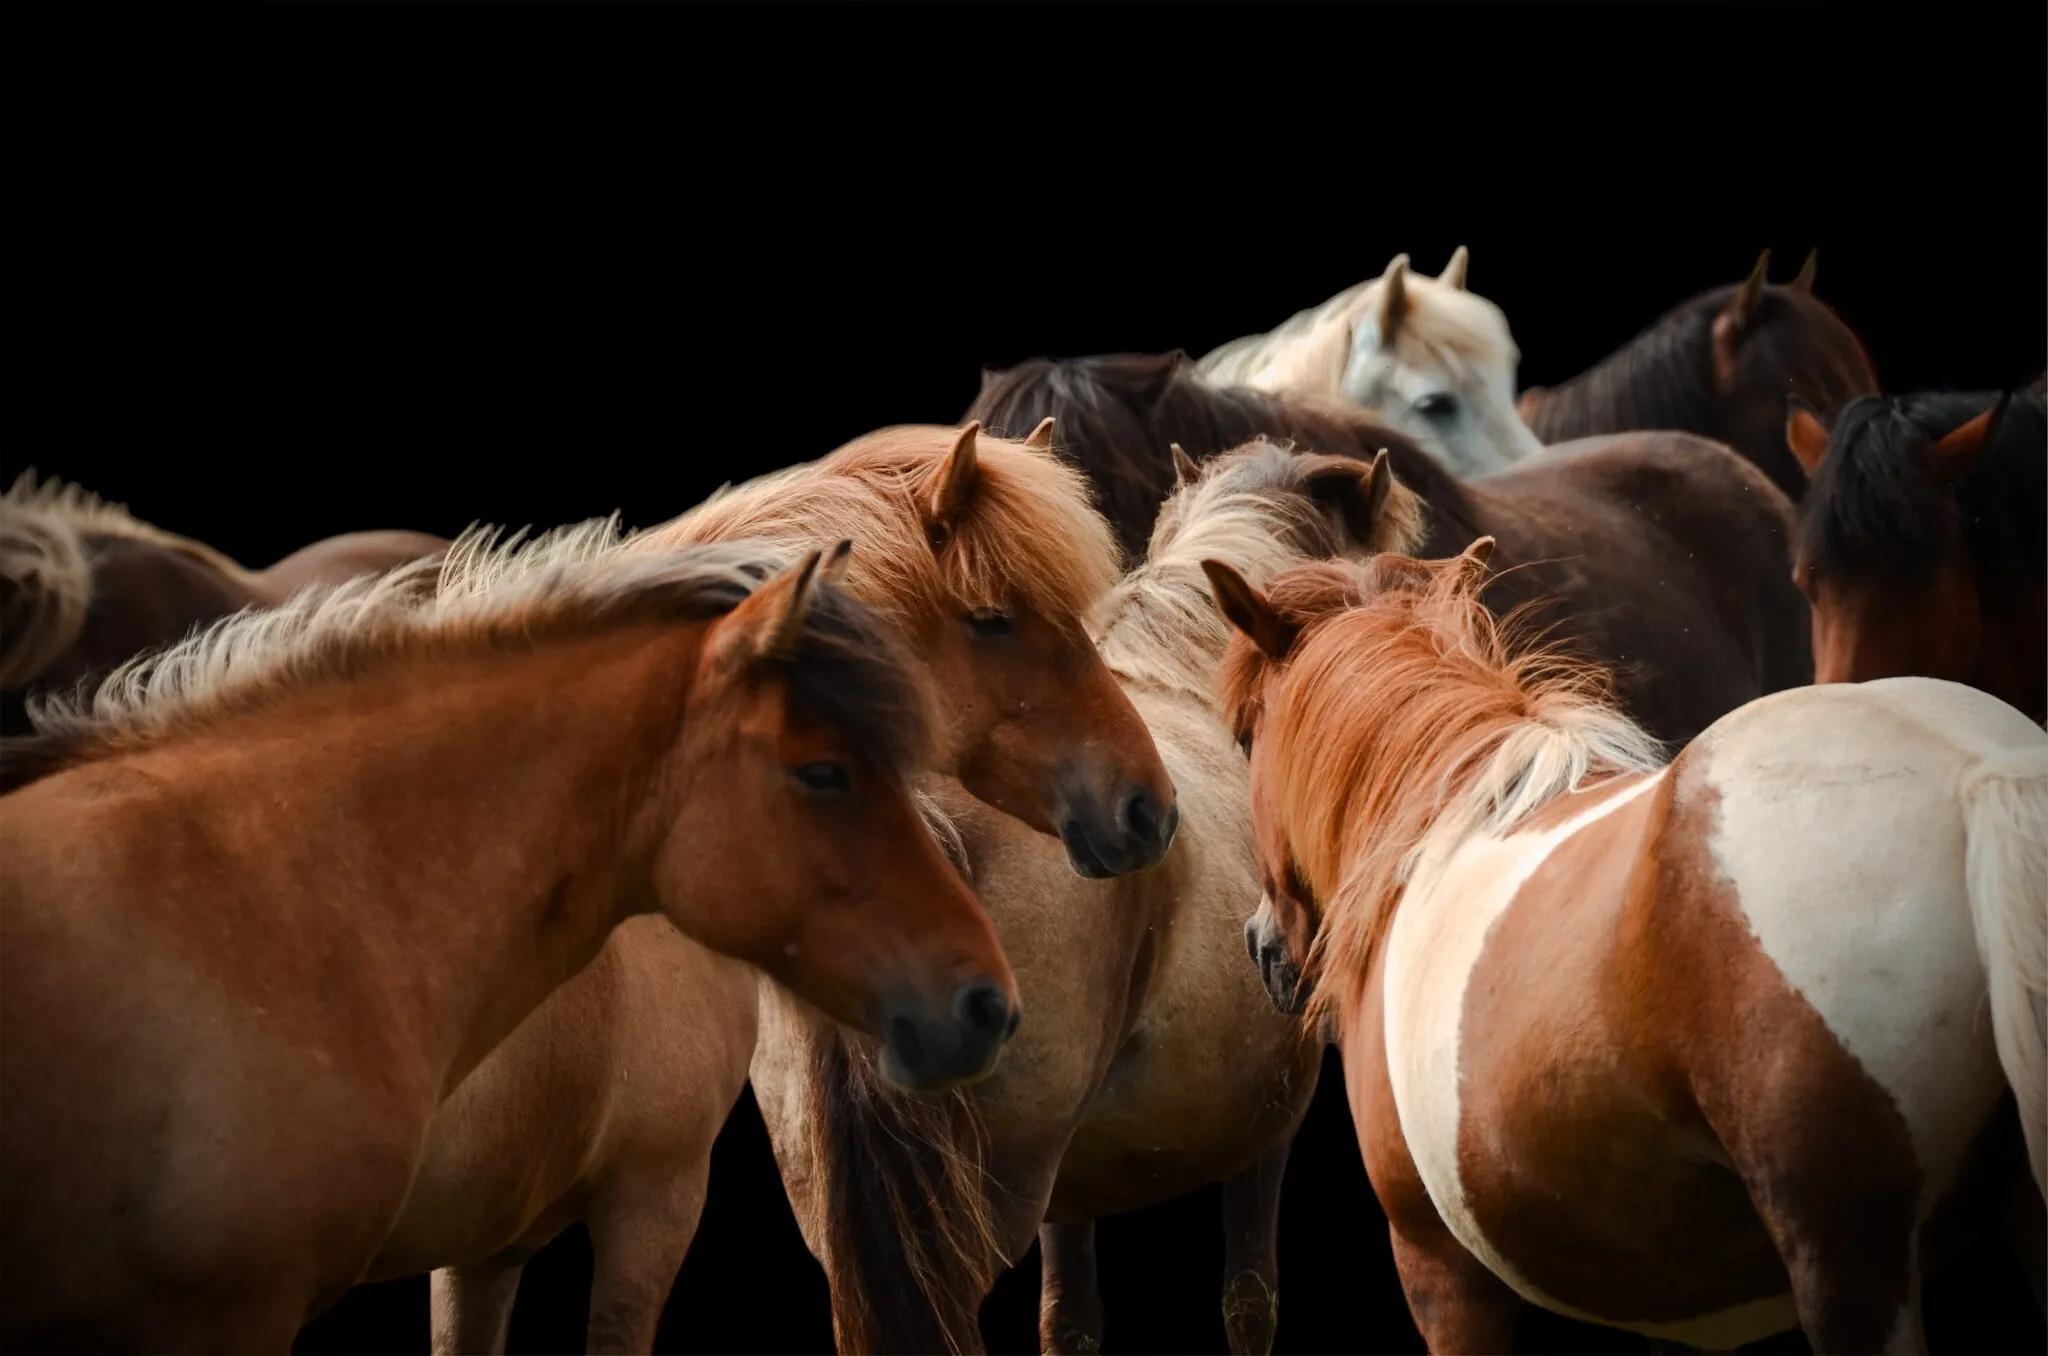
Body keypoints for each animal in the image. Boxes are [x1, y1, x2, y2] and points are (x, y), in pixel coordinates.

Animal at [1210, 540, 2048, 1353]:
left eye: (1246, 737)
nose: (1261, 947)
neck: (1437, 825)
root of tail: (1974, 775)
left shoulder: (1442, 1277)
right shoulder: (1676, 1312)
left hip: (1847, 1262)